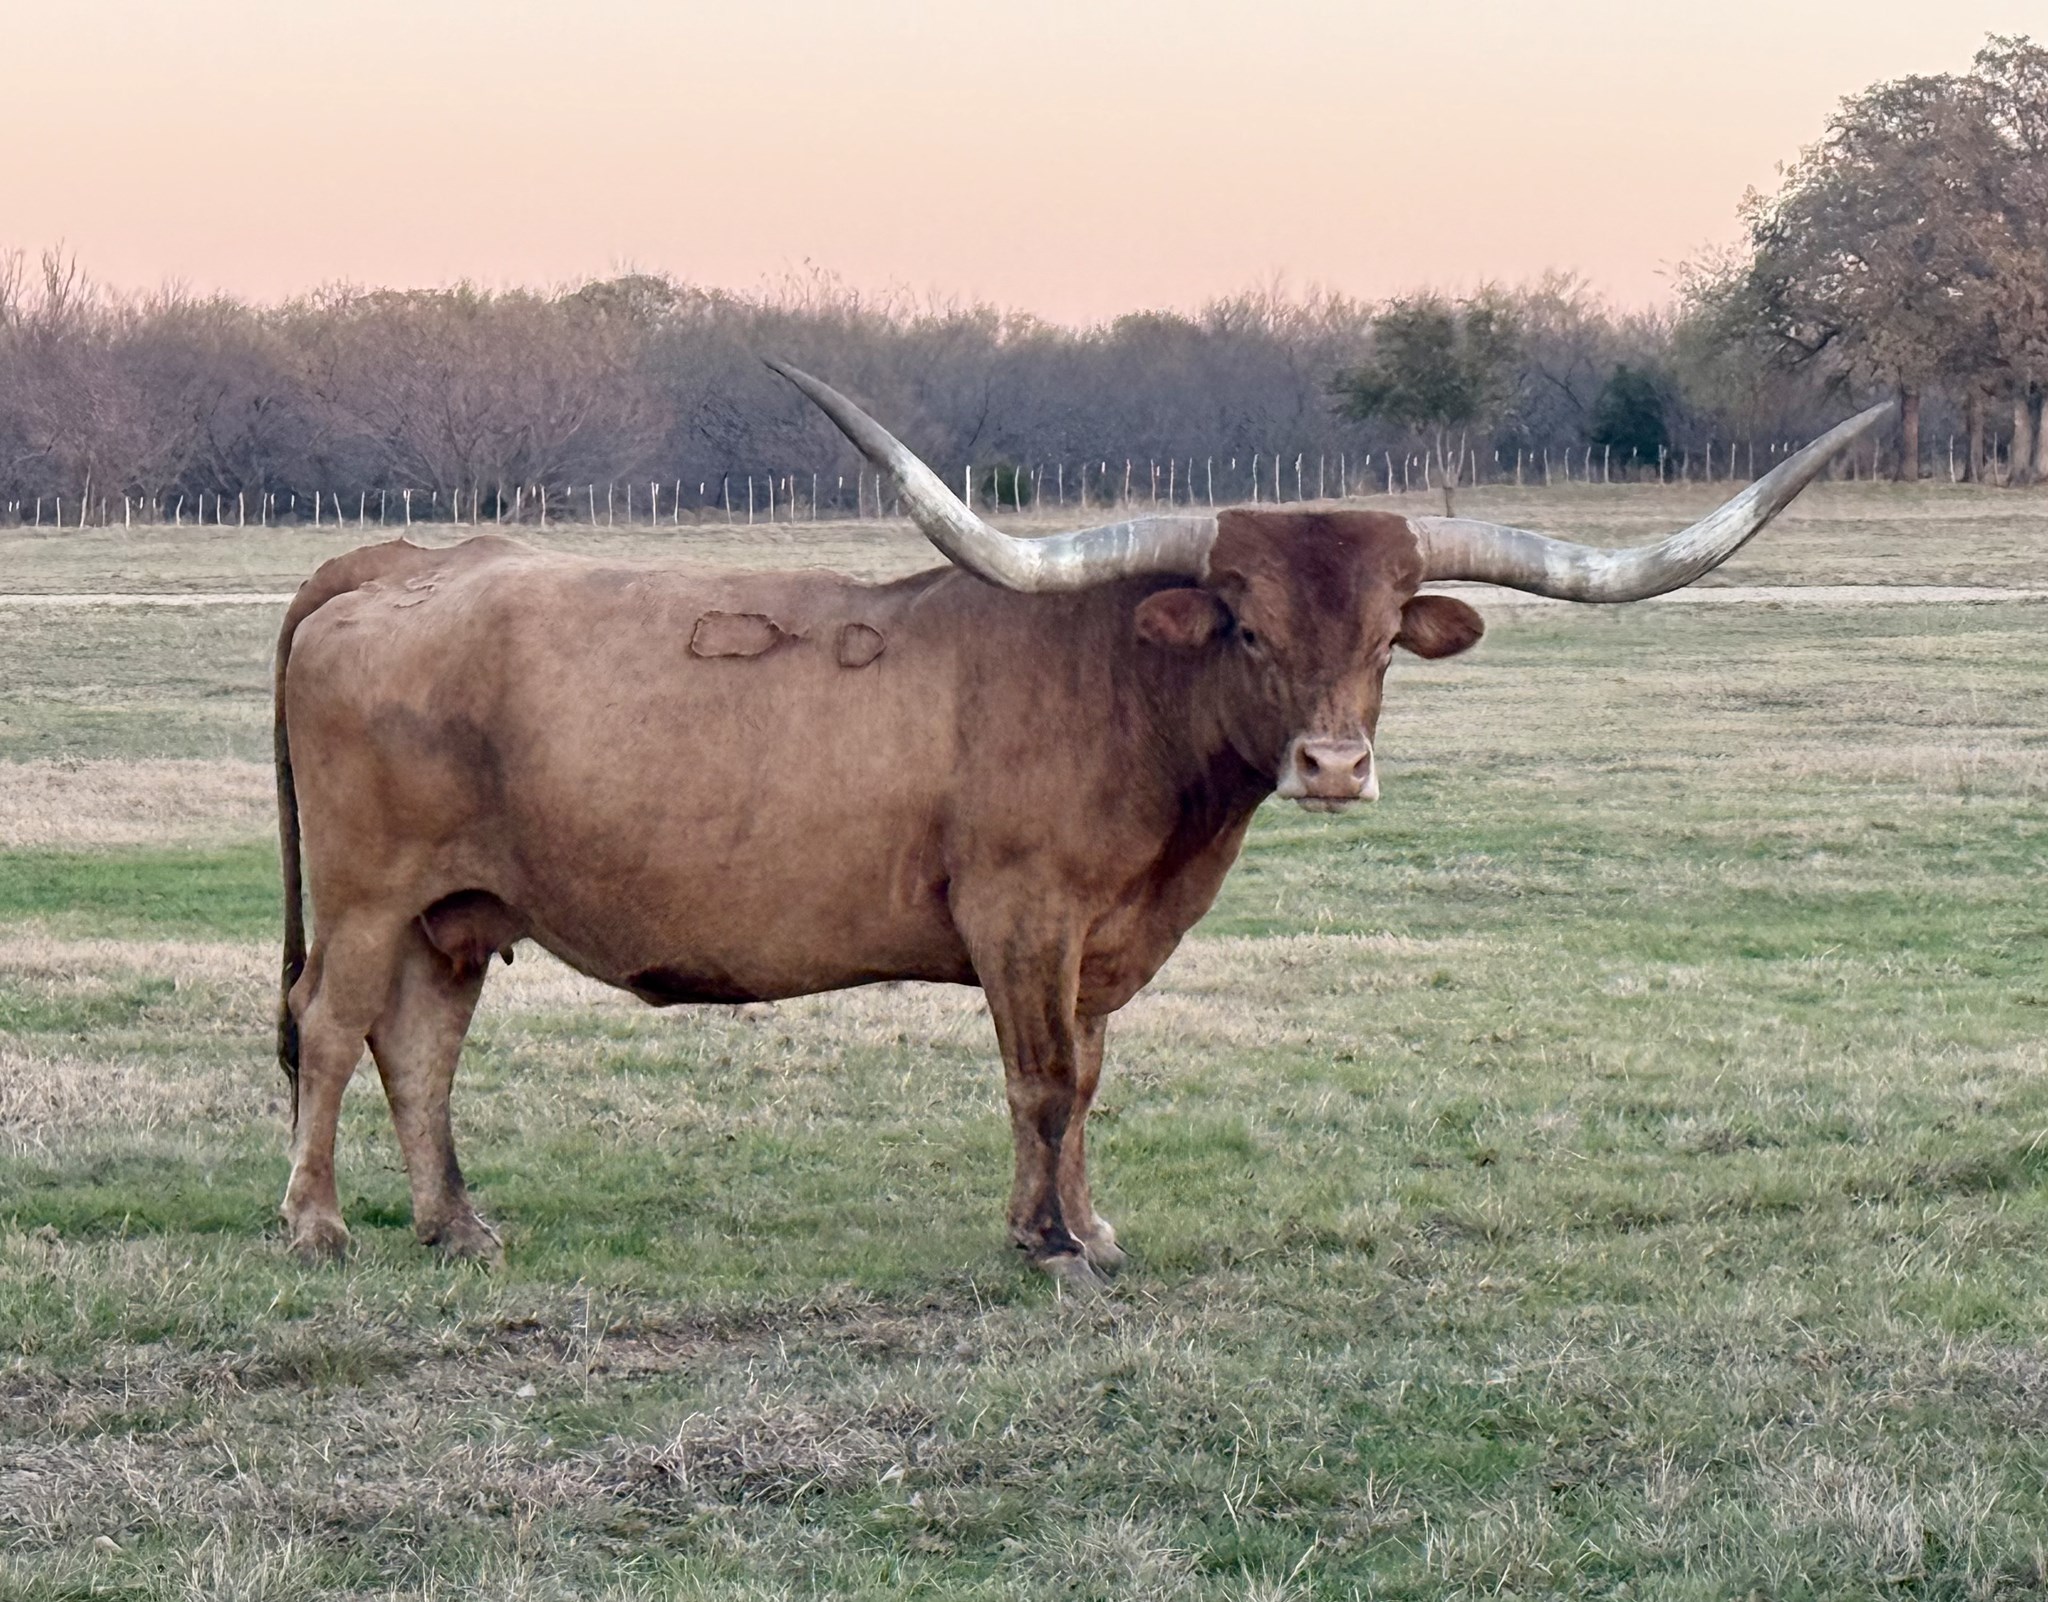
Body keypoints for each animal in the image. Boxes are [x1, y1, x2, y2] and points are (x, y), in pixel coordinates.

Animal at [272, 365, 1889, 1283]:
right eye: (1244, 622)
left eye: (1381, 635)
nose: (1334, 764)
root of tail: (394, 560)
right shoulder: (1023, 920)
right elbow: (1042, 1082)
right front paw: (1053, 1249)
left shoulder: (1105, 940)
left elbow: (1083, 1086)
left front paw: (1074, 1225)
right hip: (366, 897)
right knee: (332, 1030)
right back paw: (318, 1225)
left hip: (457, 913)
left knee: (420, 1047)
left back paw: (455, 1224)